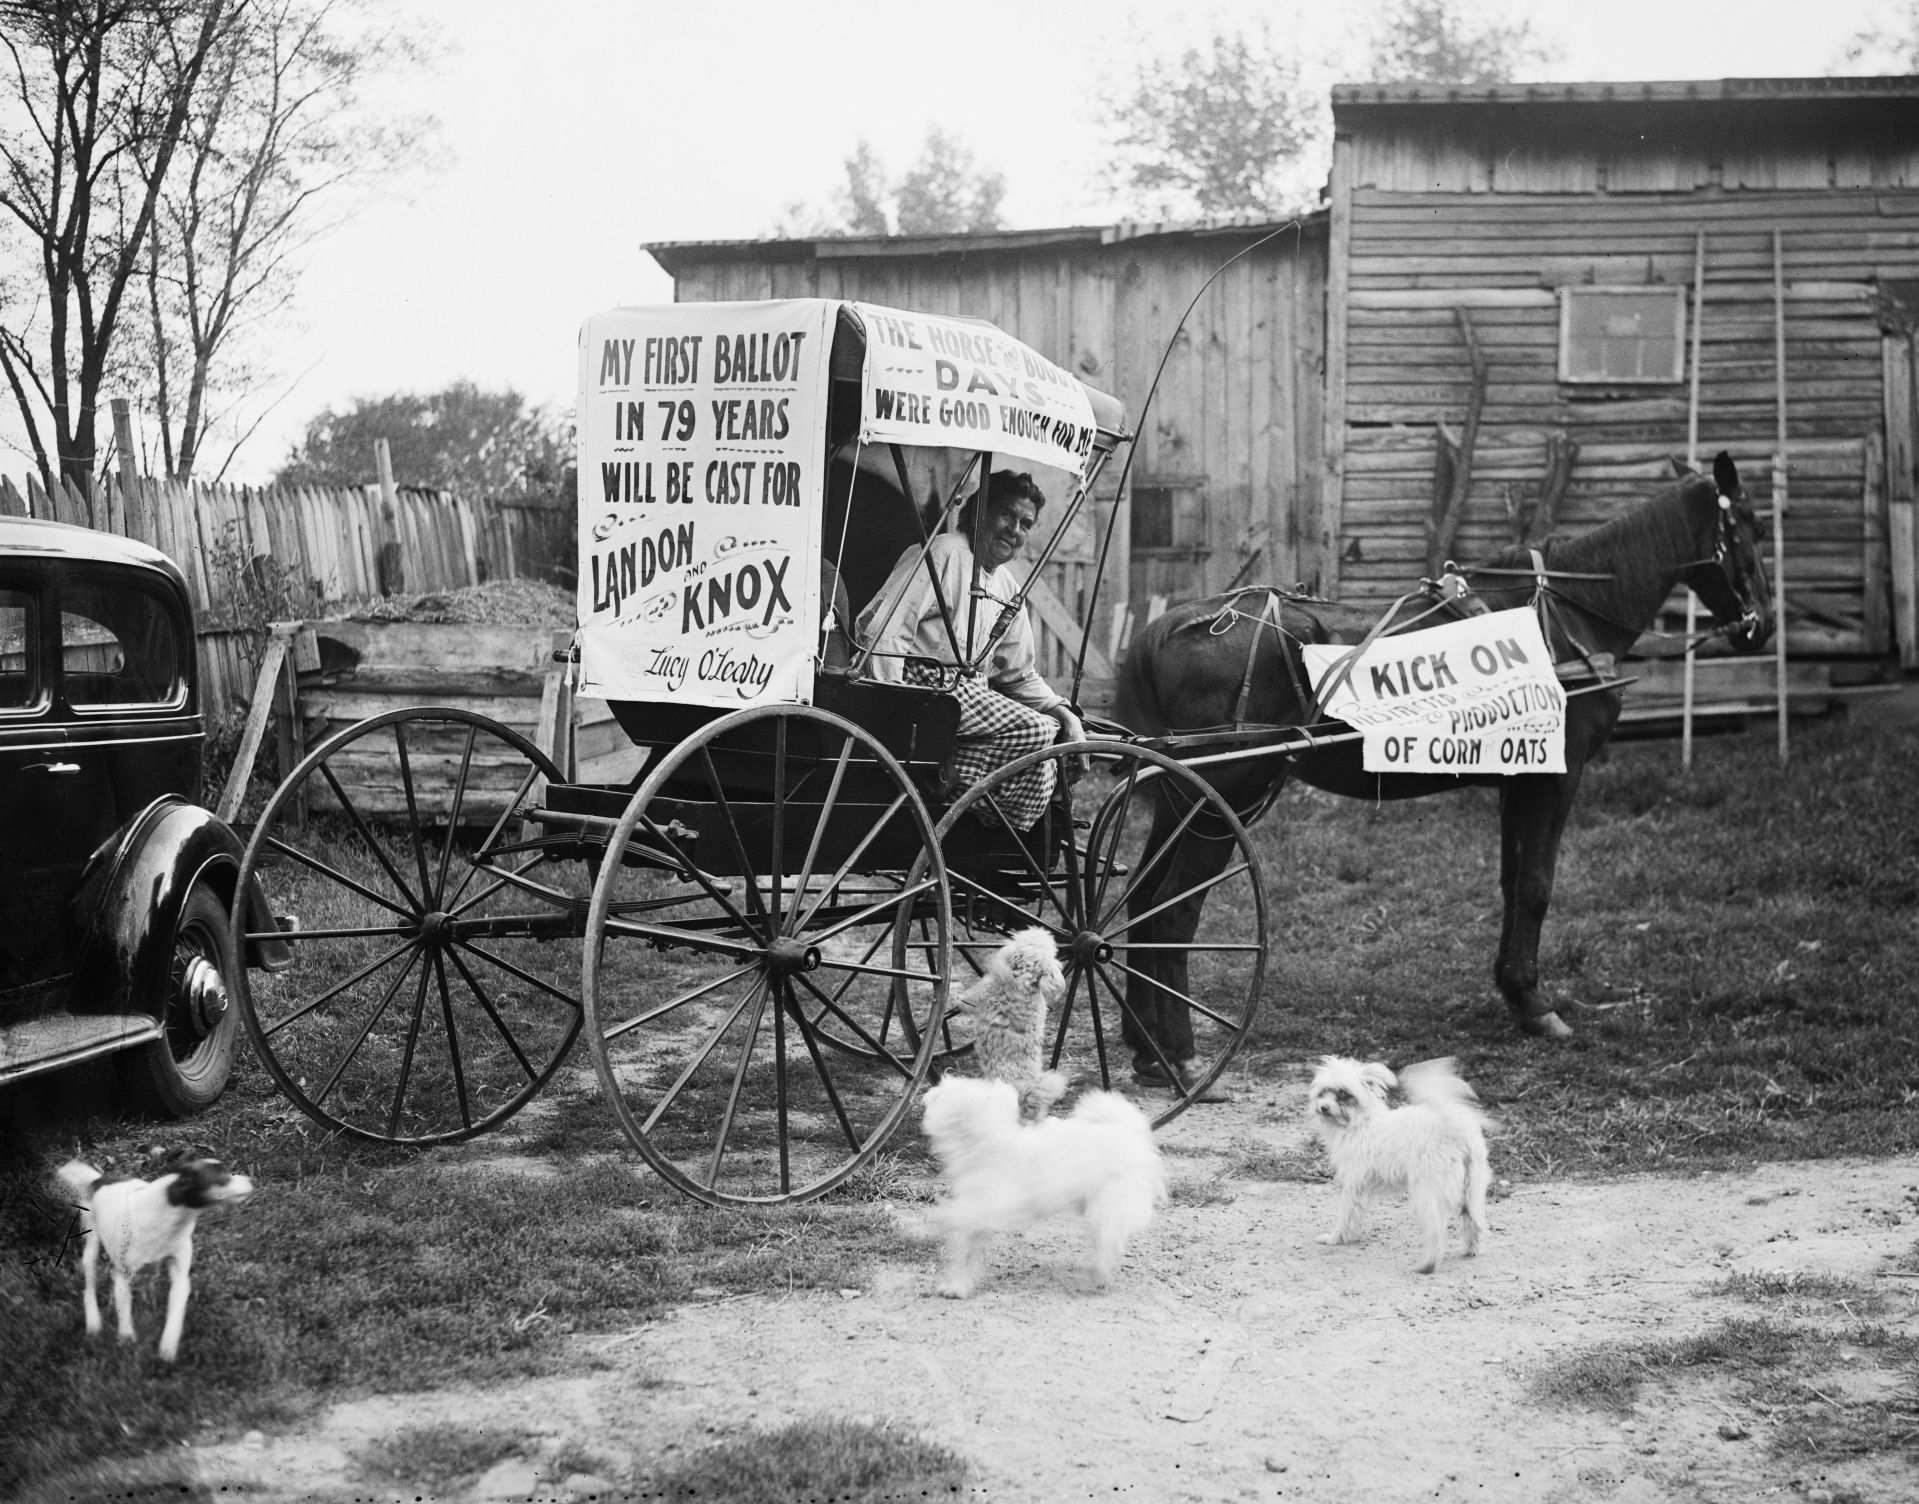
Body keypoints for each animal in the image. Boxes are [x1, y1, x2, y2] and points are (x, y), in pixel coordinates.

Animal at [917, 1066, 1159, 1289]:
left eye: (942, 1093)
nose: (927, 1094)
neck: (988, 1142)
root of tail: (1126, 1131)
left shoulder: (997, 1202)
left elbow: (961, 1217)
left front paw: (940, 1219)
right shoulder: (978, 1205)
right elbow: (966, 1249)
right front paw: (957, 1285)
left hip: (1111, 1203)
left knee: (1109, 1238)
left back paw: (1099, 1276)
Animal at [1120, 452, 1773, 1066]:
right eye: (1752, 526)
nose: (1760, 627)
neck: (1564, 616)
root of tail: (1172, 627)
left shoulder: (1520, 778)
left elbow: (1513, 883)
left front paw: (1514, 989)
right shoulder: (1557, 778)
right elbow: (1537, 886)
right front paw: (1536, 1004)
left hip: (1180, 798)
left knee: (1142, 903)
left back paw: (1145, 1046)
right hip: (1219, 803)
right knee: (1173, 915)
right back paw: (1178, 1052)